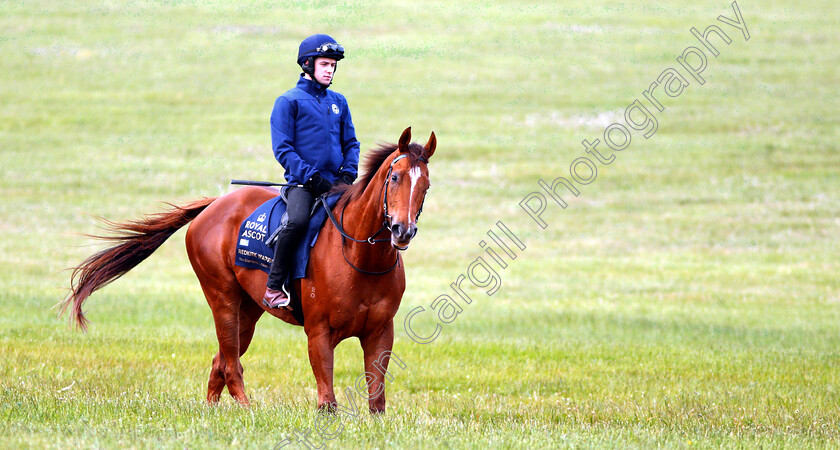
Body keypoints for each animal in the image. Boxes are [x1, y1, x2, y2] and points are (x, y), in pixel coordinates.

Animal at [62, 125, 436, 412]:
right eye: (395, 177)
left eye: (426, 186)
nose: (402, 230)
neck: (359, 257)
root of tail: (213, 205)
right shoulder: (319, 332)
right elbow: (327, 400)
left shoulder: (380, 332)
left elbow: (377, 397)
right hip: (223, 298)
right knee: (231, 364)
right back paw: (246, 408)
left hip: (249, 309)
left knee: (220, 362)